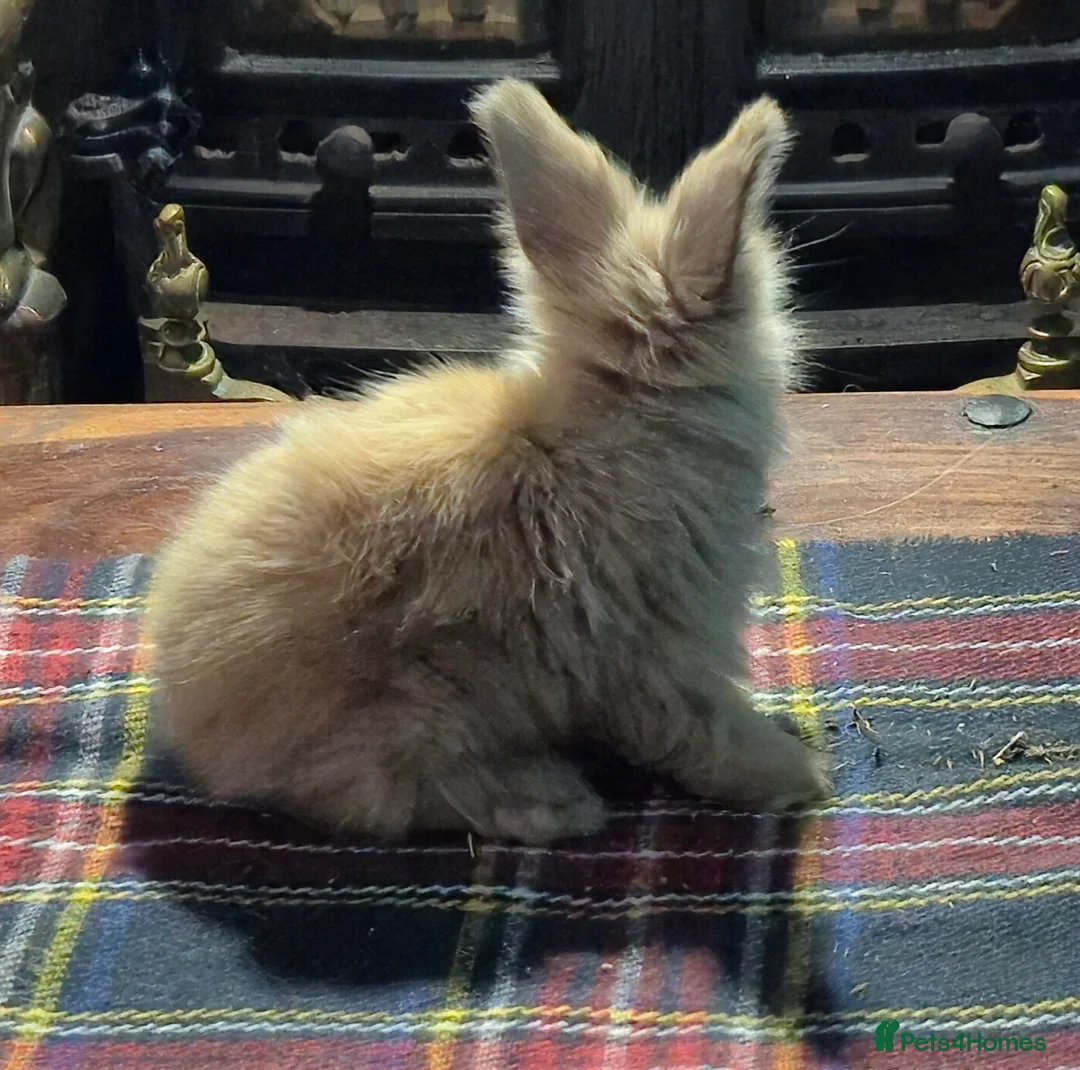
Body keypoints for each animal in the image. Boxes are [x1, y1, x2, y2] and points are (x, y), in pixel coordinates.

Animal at [146, 79, 830, 846]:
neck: (620, 420)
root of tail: (194, 731)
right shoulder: (661, 652)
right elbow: (700, 732)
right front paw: (797, 776)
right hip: (426, 708)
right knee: (387, 795)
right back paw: (556, 803)